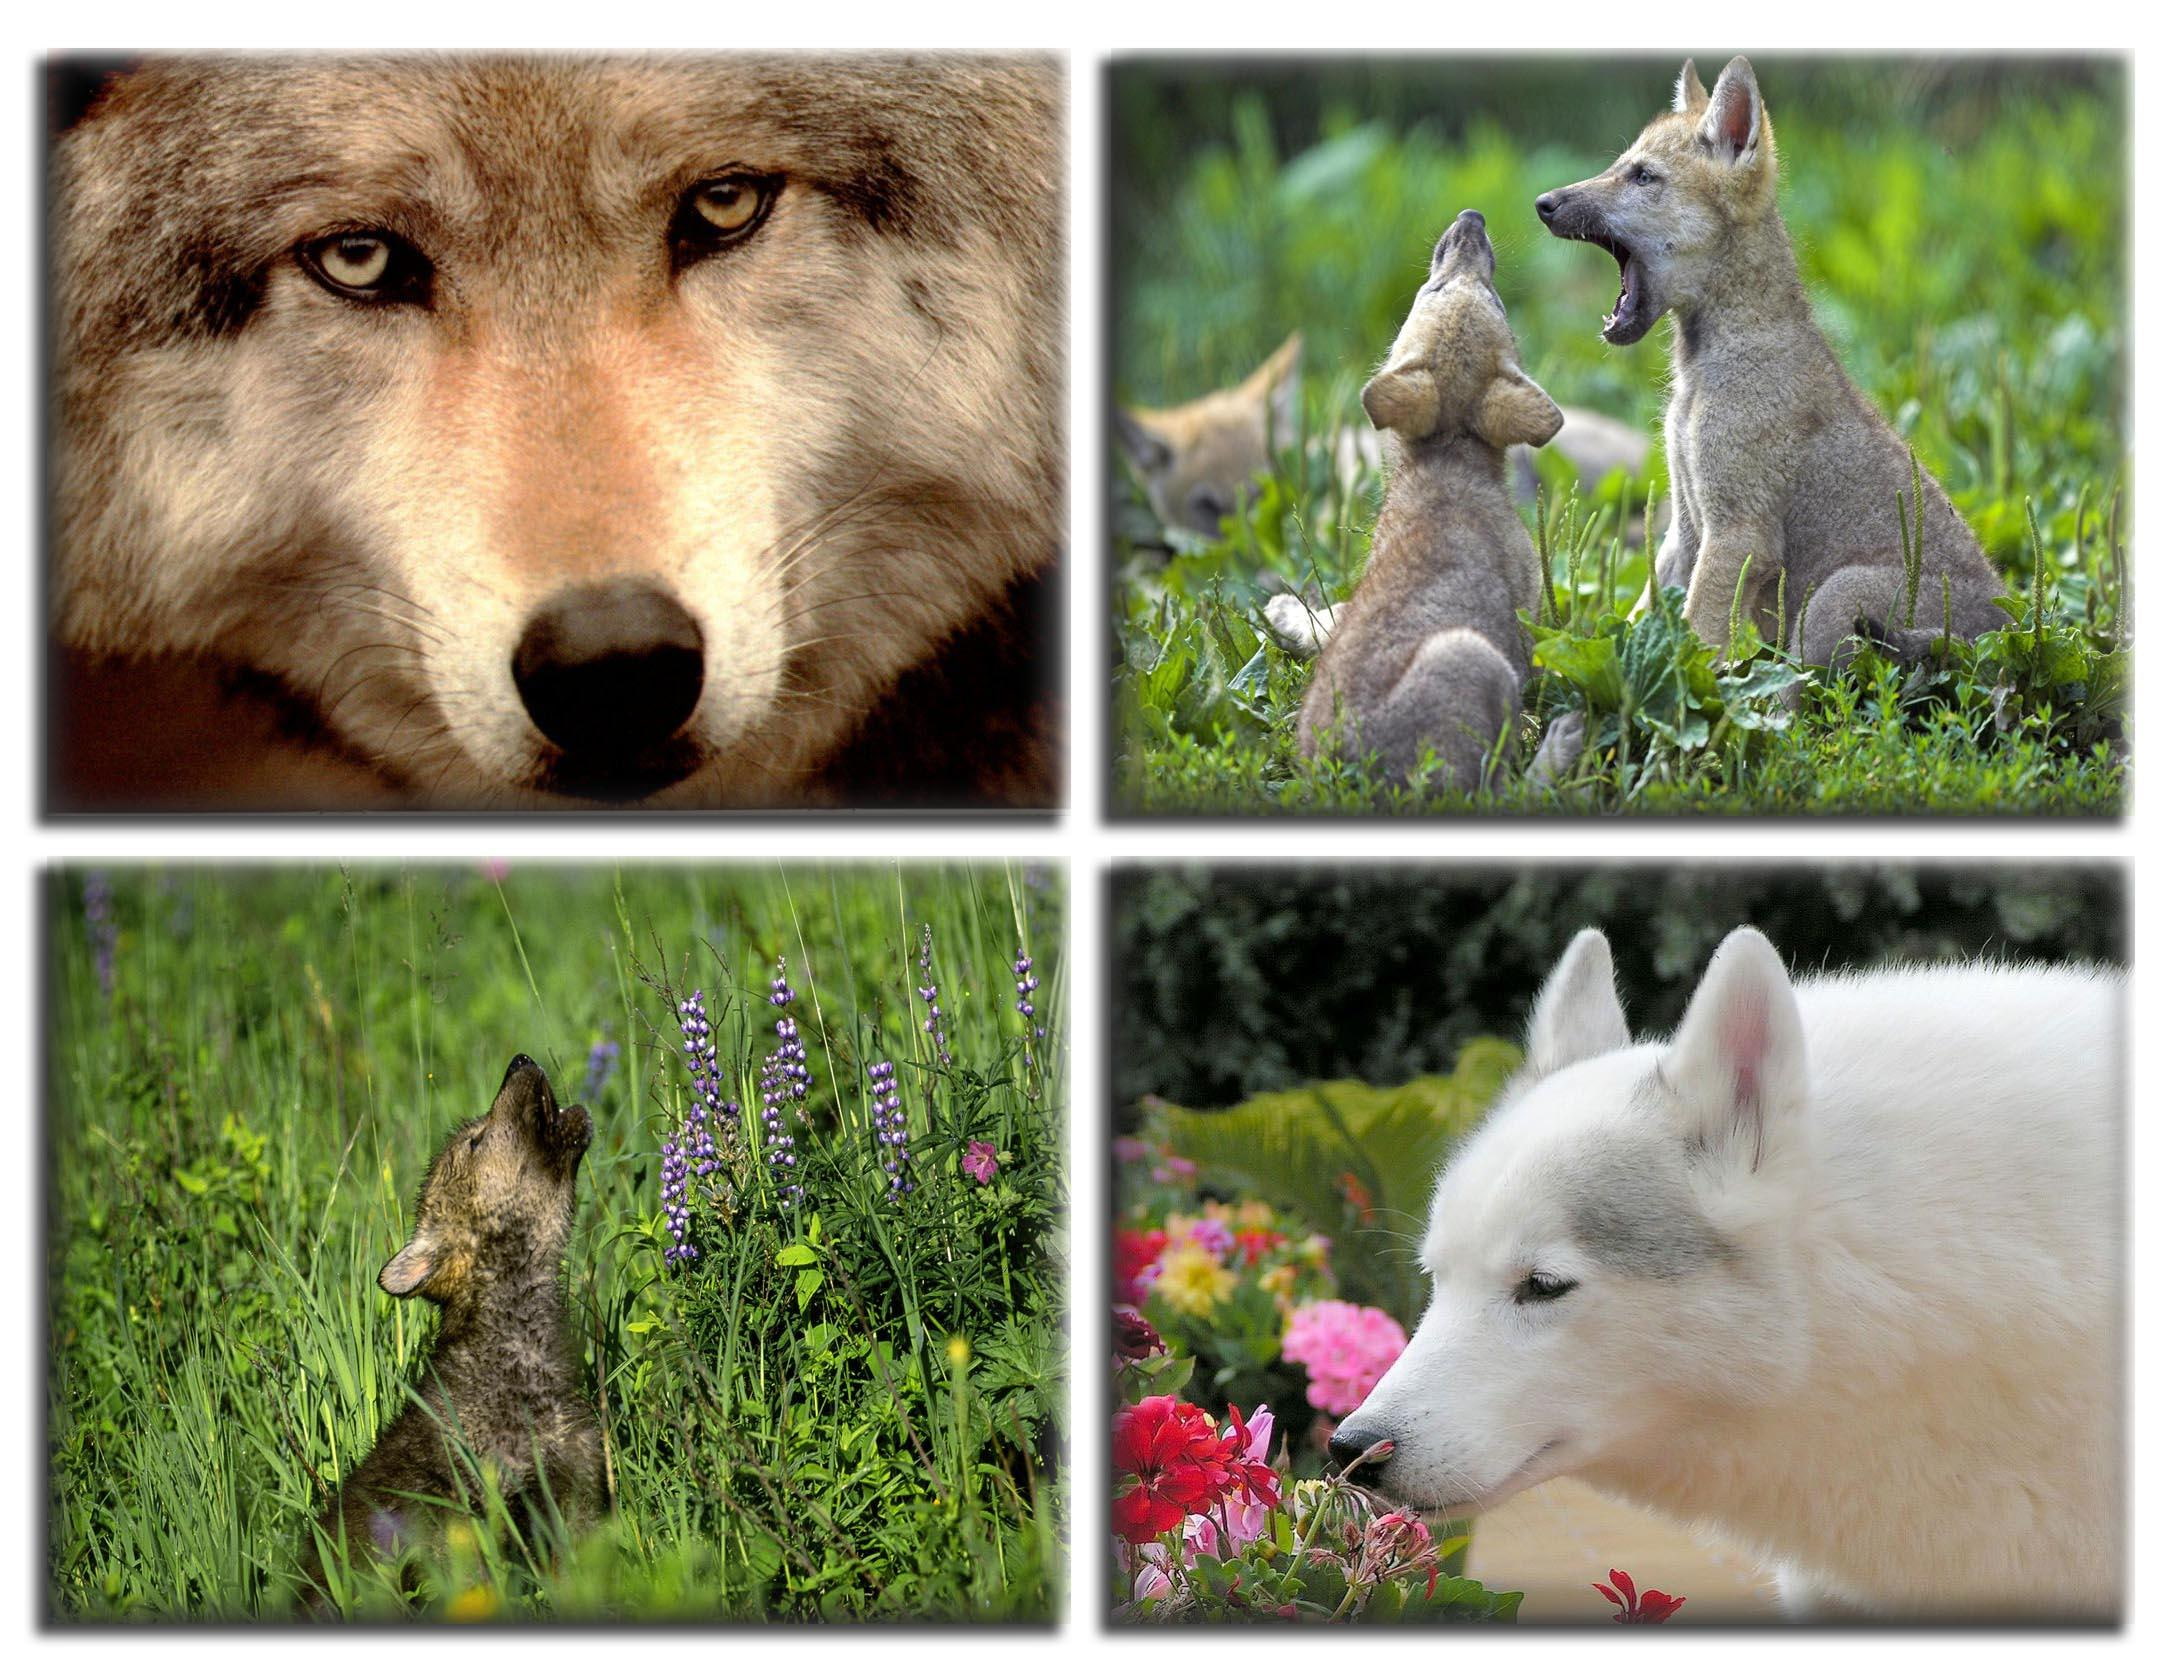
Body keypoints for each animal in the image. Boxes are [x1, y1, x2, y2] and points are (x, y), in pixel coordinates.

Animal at [1294, 213, 1581, 791]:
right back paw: (1562, 744)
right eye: (1435, 289)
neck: (1449, 452)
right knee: (1505, 788)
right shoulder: (1530, 618)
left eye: (1491, 296)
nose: (1472, 219)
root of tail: (1347, 773)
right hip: (1476, 663)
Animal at [1535, 57, 2008, 664]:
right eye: (1621, 165)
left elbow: (1695, 637)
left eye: (1643, 176)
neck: (1702, 372)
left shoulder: (1739, 534)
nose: (1543, 203)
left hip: (1833, 599)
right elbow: (1644, 617)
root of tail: (2005, 631)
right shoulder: (1684, 529)